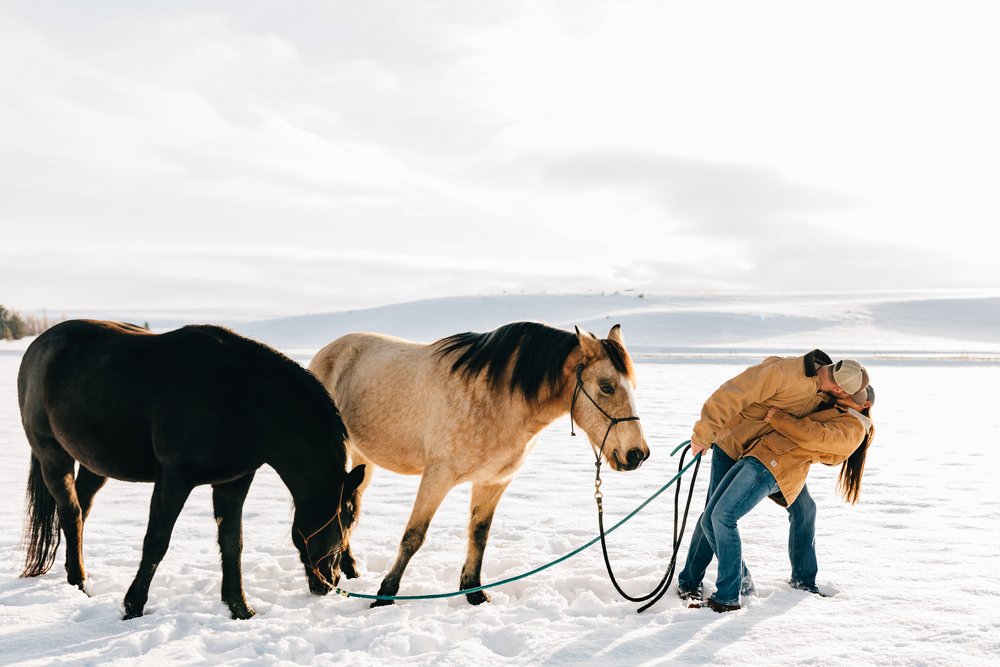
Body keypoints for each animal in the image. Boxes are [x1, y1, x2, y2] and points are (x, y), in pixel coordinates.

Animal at [16, 320, 368, 620]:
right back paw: (78, 581)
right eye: (348, 518)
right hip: (53, 457)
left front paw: (240, 607)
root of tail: (39, 345)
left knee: (80, 510)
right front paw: (133, 606)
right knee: (71, 513)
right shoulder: (174, 479)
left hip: (95, 464)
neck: (241, 397)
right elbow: (156, 541)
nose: (332, 579)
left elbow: (233, 543)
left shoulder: (234, 481)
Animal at [310, 320, 648, 608]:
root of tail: (330, 349)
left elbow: (479, 535)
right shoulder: (438, 476)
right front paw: (385, 595)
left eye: (633, 387)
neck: (498, 399)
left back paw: (350, 566)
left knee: (351, 500)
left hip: (363, 460)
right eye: (606, 386)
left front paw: (473, 592)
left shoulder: (493, 481)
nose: (637, 454)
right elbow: (414, 536)